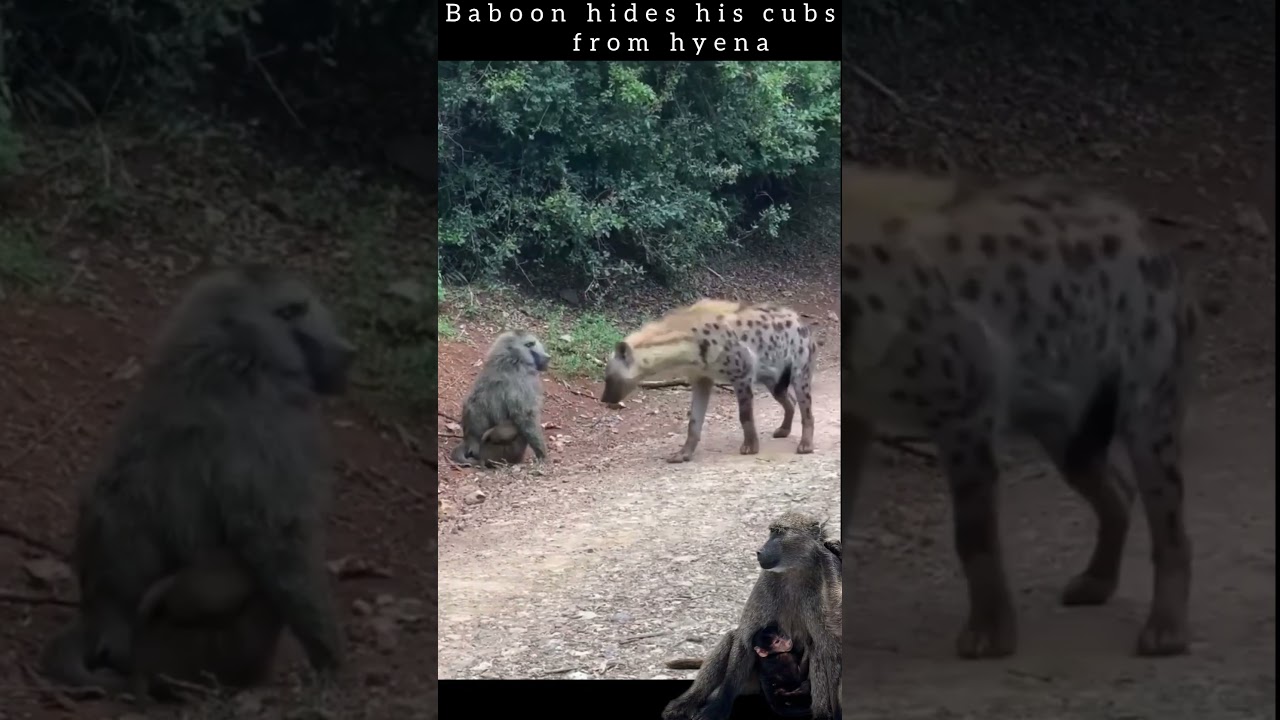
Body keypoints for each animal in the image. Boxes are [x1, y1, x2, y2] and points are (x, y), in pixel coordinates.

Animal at [39, 264, 353, 695]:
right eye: (304, 311)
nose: (347, 353)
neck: (236, 355)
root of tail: (101, 629)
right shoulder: (284, 423)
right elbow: (278, 539)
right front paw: (330, 661)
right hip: (190, 654)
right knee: (256, 586)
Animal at [448, 331, 551, 467]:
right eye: (532, 344)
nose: (548, 357)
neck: (512, 359)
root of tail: (470, 445)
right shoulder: (527, 379)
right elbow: (526, 417)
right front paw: (542, 455)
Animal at [662, 512, 842, 720]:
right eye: (771, 531)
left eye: (779, 532)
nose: (759, 551)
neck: (795, 570)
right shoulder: (766, 581)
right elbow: (744, 640)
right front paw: (718, 708)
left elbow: (829, 646)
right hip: (750, 681)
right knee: (732, 637)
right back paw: (688, 701)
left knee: (818, 649)